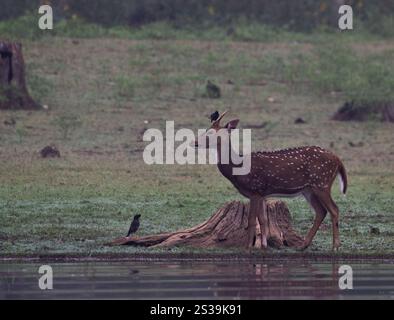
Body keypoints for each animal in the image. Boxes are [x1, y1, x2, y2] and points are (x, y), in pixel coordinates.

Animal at [195, 111, 348, 251]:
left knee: (334, 209)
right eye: (206, 130)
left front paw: (248, 247)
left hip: (322, 183)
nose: (194, 142)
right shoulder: (262, 193)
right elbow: (263, 220)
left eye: (211, 133)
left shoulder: (255, 189)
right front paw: (263, 245)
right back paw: (303, 245)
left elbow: (251, 220)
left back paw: (335, 246)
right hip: (309, 190)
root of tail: (338, 160)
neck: (238, 169)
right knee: (321, 211)